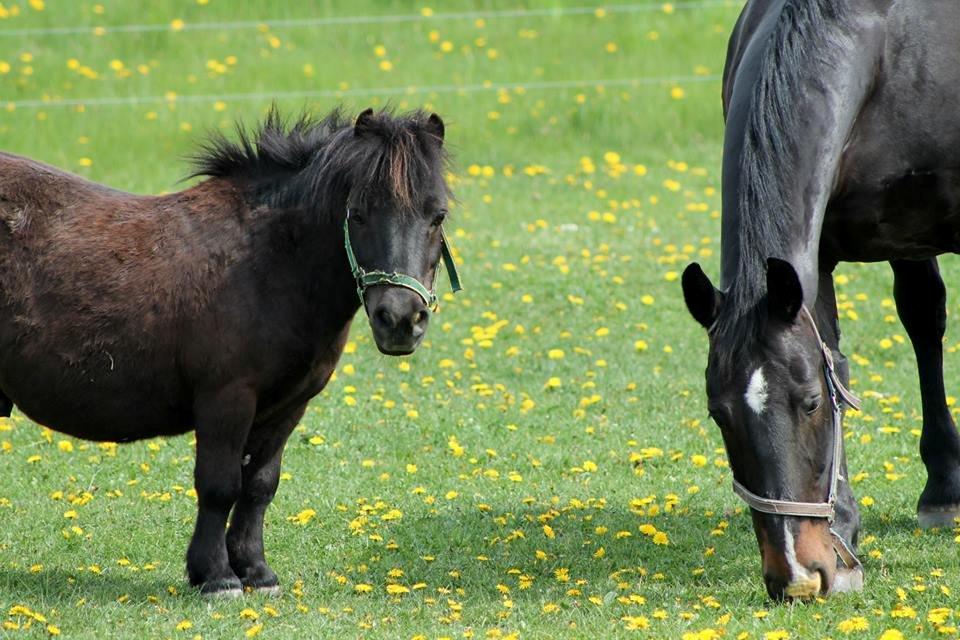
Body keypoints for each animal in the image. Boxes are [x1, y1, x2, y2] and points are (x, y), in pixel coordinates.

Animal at [0, 109, 462, 596]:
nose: (400, 319)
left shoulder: (288, 407)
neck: (268, 266)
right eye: (357, 214)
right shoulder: (227, 399)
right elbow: (219, 485)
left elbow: (259, 486)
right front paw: (217, 576)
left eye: (438, 216)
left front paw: (256, 571)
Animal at [684, 0, 960, 600]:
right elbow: (844, 360)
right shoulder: (820, 261)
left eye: (808, 403)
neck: (886, 46)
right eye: (718, 414)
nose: (796, 577)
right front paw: (845, 537)